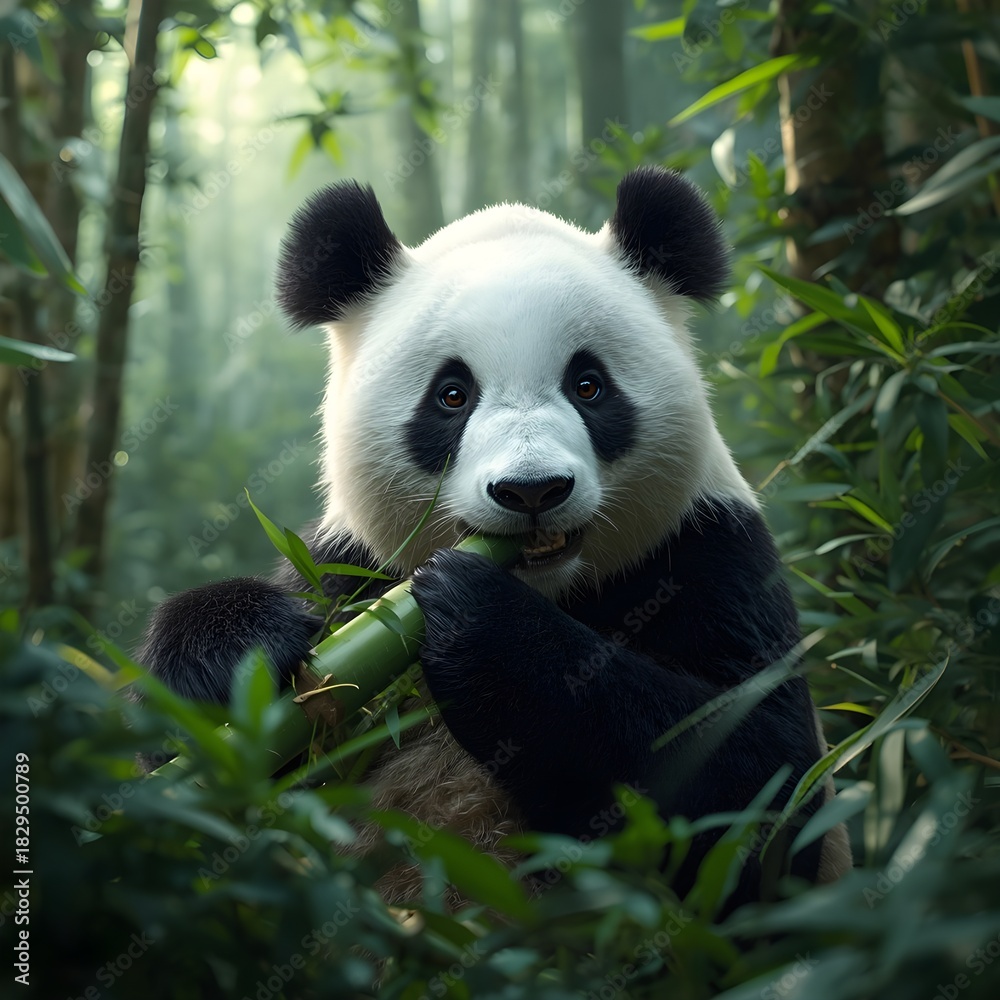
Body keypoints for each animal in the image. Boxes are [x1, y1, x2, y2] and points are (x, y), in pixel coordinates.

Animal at [139, 165, 852, 910]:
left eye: (589, 385)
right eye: (451, 395)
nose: (532, 491)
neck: (553, 587)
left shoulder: (712, 553)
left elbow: (760, 788)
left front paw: (480, 623)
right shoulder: (350, 571)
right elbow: (208, 787)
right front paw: (232, 656)